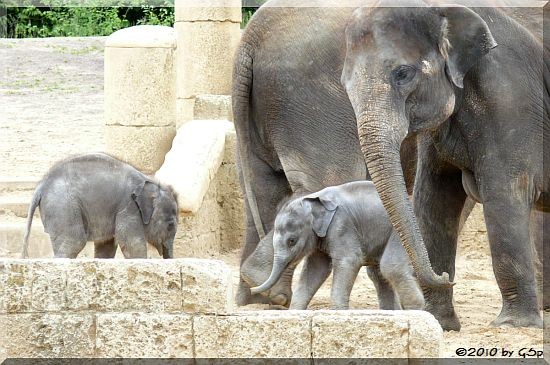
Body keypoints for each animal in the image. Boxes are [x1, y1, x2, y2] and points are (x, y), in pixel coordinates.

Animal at [22, 152, 178, 258]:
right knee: (73, 242)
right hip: (63, 206)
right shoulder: (128, 208)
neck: (148, 181)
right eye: (170, 225)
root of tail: (40, 186)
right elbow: (132, 243)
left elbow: (106, 245)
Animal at [250, 180, 426, 310]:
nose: (252, 290)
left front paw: (338, 312)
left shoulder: (341, 224)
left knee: (391, 267)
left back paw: (417, 310)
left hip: (401, 232)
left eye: (291, 241)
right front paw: (295, 313)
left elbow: (349, 260)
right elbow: (316, 268)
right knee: (378, 273)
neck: (315, 198)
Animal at [342, 0, 548, 330]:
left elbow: (504, 197)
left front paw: (514, 325)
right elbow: (434, 200)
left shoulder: (512, 100)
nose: (446, 278)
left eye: (402, 73)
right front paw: (439, 322)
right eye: (344, 84)